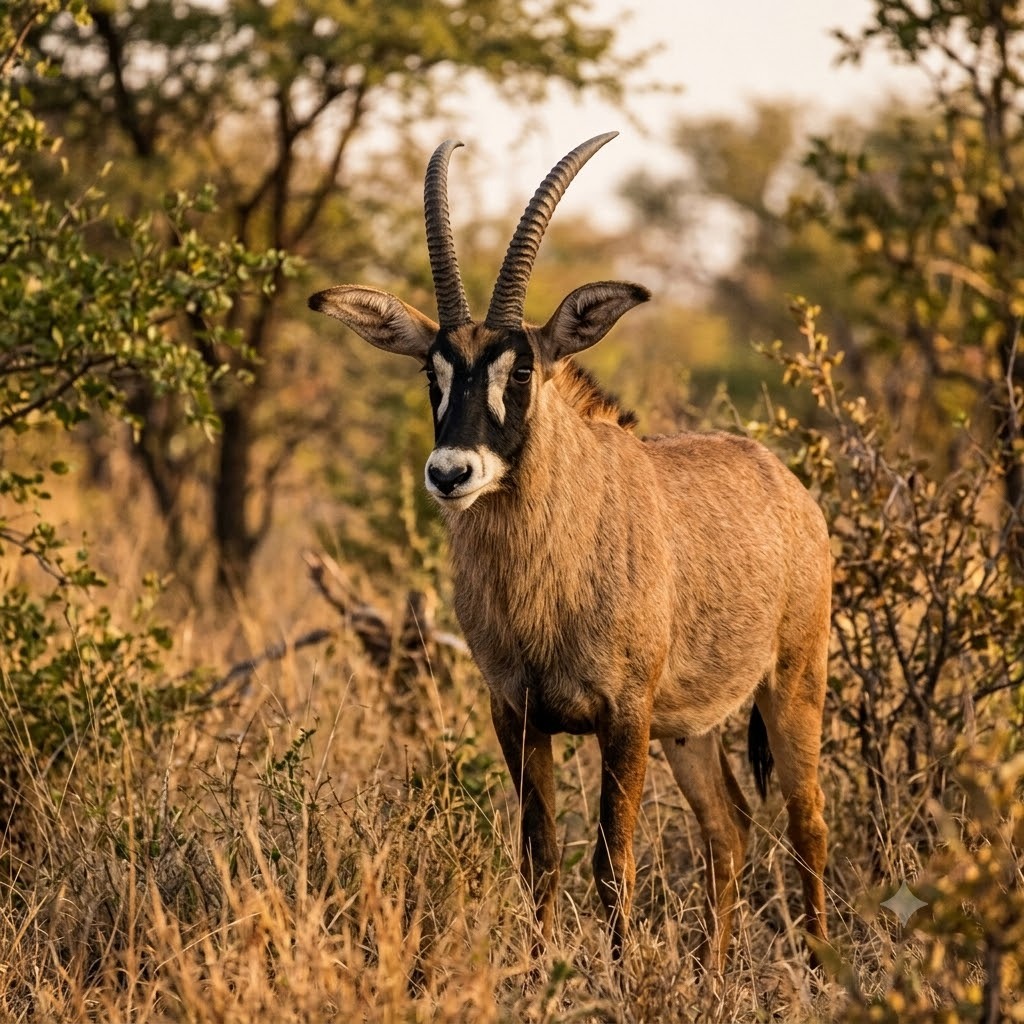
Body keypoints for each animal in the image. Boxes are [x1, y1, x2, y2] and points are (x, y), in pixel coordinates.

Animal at [309, 133, 831, 970]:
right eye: (433, 370)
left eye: (521, 367)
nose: (450, 473)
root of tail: (789, 487)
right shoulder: (517, 715)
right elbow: (541, 855)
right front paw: (539, 966)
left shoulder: (624, 717)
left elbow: (613, 863)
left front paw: (619, 978)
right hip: (688, 729)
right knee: (729, 828)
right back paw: (712, 973)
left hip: (792, 682)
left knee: (806, 820)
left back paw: (818, 965)